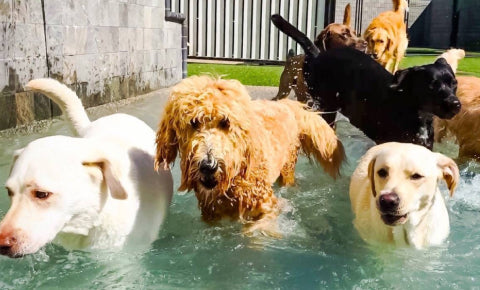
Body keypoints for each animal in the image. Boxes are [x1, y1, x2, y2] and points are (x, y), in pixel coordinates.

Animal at [156, 75, 344, 236]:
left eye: (225, 122)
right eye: (193, 122)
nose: (208, 166)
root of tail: (287, 104)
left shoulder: (267, 207)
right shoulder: (211, 216)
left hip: (288, 166)